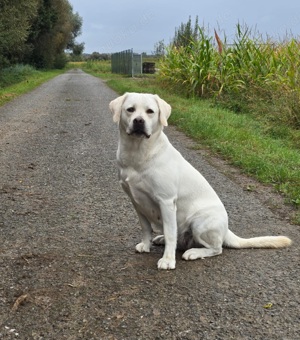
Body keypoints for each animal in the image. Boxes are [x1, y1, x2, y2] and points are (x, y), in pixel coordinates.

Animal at [109, 91, 292, 270]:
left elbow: (170, 233)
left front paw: (167, 260)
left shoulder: (166, 201)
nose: (139, 121)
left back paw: (194, 252)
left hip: (199, 223)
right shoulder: (136, 202)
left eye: (150, 111)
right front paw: (146, 245)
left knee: (216, 248)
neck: (138, 152)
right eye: (130, 109)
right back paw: (161, 239)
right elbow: (146, 228)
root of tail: (227, 230)